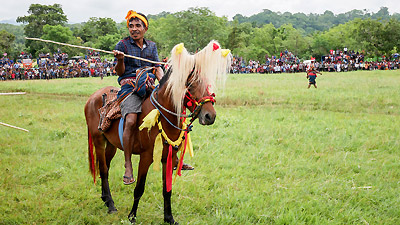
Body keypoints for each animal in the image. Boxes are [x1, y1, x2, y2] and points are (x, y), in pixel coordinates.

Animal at [84, 41, 231, 224]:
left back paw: (105, 198)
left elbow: (167, 189)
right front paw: (132, 216)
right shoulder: (146, 157)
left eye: (207, 84)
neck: (163, 115)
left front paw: (169, 218)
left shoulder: (168, 156)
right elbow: (139, 188)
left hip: (111, 144)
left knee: (106, 168)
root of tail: (92, 98)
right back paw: (111, 204)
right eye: (191, 85)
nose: (210, 116)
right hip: (98, 140)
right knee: (103, 169)